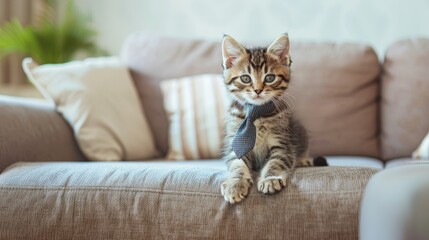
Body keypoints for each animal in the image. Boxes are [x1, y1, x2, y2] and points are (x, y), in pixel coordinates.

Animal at [221, 32, 324, 203]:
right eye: (245, 78)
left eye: (269, 78)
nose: (257, 90)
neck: (256, 114)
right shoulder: (235, 143)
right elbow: (237, 164)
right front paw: (235, 184)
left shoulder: (282, 143)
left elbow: (276, 162)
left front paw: (270, 179)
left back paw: (303, 160)